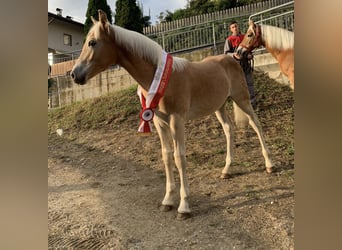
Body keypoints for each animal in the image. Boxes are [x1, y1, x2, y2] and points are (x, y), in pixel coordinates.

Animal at [71, 9, 274, 220]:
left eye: (92, 42)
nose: (74, 75)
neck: (161, 77)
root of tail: (232, 58)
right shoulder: (160, 122)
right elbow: (167, 156)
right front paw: (167, 200)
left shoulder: (177, 120)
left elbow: (179, 158)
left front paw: (184, 206)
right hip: (219, 106)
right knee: (228, 129)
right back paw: (226, 170)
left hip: (242, 99)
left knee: (256, 124)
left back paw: (269, 164)